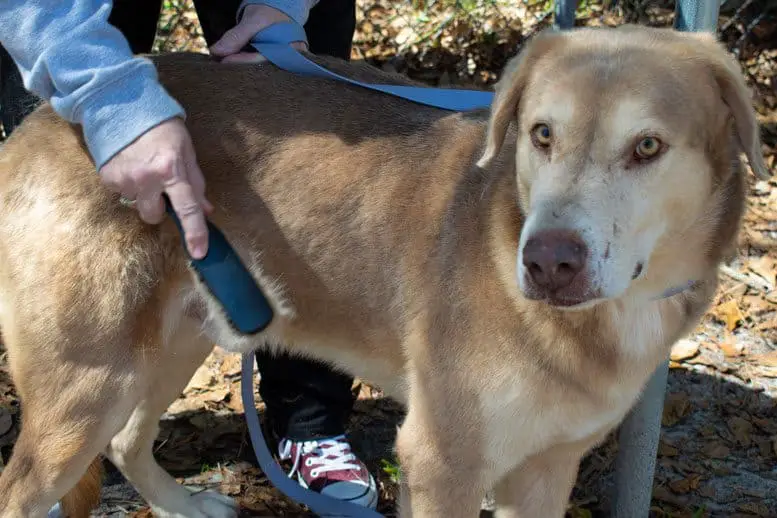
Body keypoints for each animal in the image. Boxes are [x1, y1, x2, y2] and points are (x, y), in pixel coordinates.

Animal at [0, 23, 768, 518]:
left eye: (648, 146)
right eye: (541, 134)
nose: (547, 263)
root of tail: (40, 122)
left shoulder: (546, 470)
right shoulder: (441, 463)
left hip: (180, 336)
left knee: (127, 441)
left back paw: (184, 506)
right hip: (86, 382)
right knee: (28, 487)